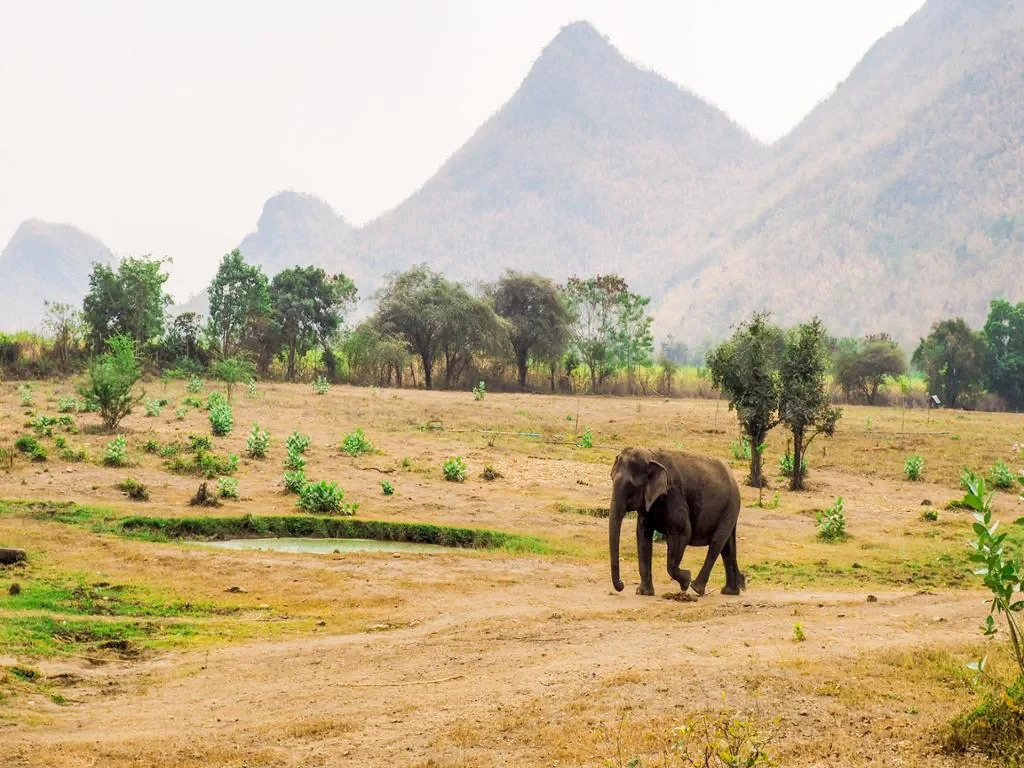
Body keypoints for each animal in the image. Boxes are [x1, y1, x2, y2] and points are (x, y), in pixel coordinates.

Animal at [609, 447, 745, 597]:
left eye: (630, 486)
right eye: (611, 478)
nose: (622, 585)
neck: (651, 455)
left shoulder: (674, 494)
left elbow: (683, 532)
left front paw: (686, 580)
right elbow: (642, 534)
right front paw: (643, 593)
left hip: (730, 506)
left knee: (717, 543)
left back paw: (696, 588)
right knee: (727, 546)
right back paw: (730, 592)